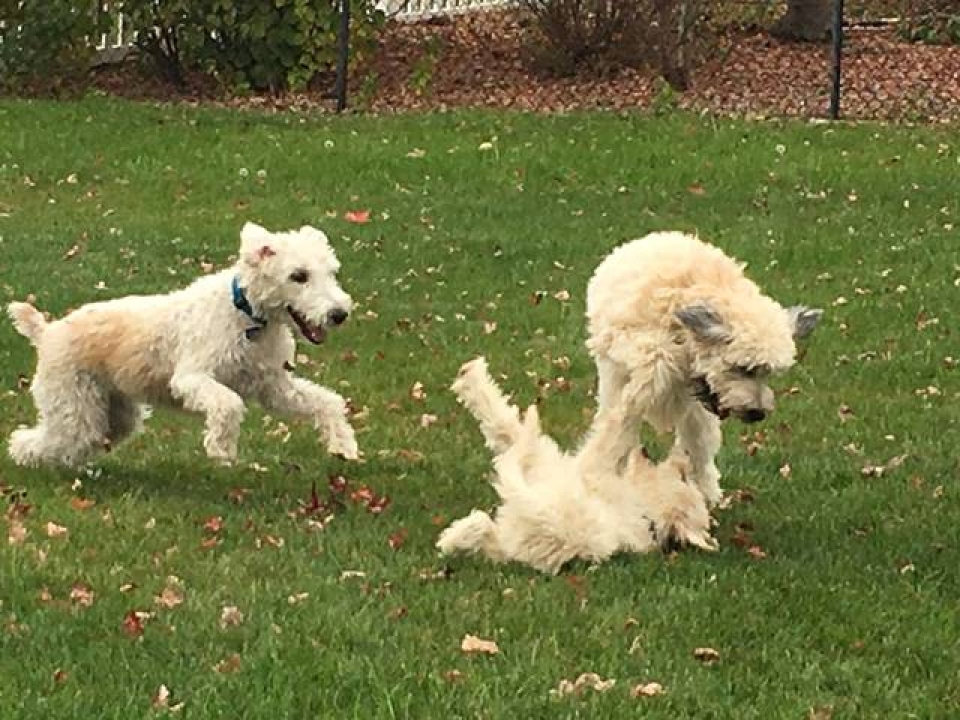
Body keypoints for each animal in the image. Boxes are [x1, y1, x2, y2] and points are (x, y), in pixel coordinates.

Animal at [6, 222, 360, 470]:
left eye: (331, 272)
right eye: (298, 276)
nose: (339, 314)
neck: (247, 317)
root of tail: (46, 332)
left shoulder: (274, 387)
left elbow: (327, 402)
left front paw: (343, 446)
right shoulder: (192, 377)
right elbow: (229, 403)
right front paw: (222, 448)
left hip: (113, 414)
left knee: (77, 443)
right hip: (74, 405)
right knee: (35, 440)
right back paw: (27, 461)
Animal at [436, 358, 712, 576]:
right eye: (685, 477)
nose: (686, 455)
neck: (645, 510)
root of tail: (552, 533)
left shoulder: (588, 463)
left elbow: (623, 417)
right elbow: (504, 427)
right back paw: (453, 537)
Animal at [580, 232, 820, 506]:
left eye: (767, 372)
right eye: (743, 368)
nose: (757, 413)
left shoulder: (699, 405)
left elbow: (699, 445)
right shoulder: (636, 357)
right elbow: (619, 427)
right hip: (612, 374)